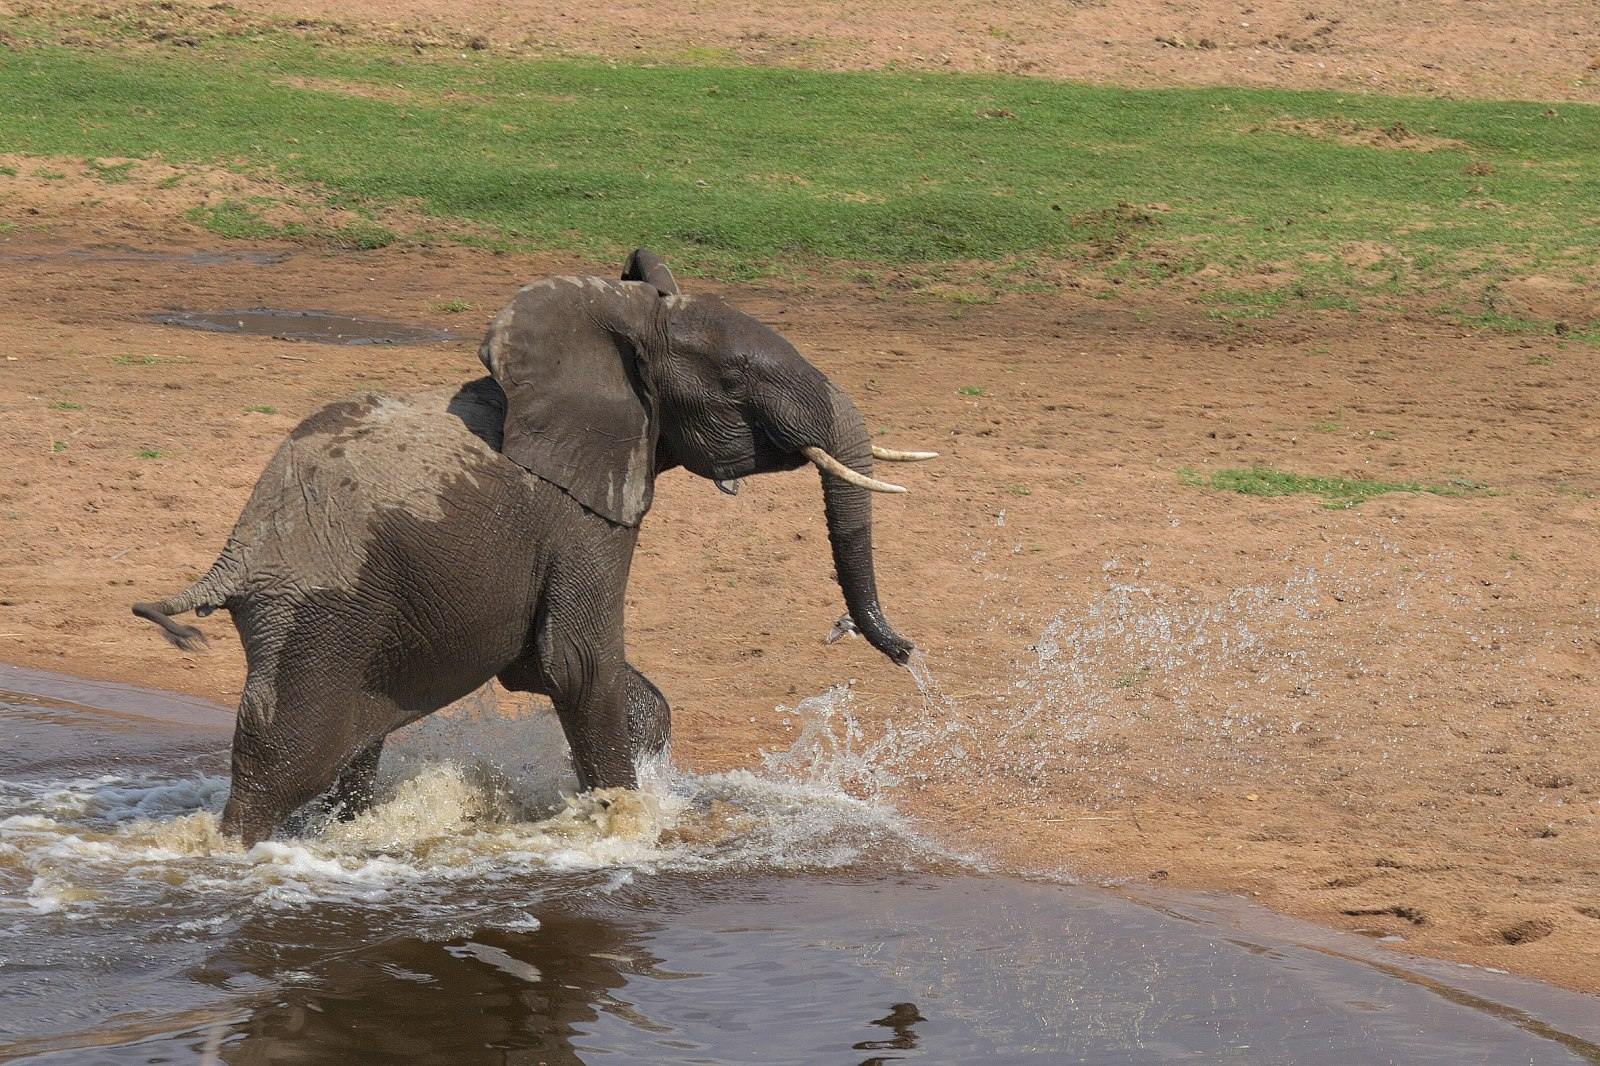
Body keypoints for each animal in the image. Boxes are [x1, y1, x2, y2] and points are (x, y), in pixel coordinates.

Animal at [134, 249, 934, 838]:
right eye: (735, 379)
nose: (907, 653)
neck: (623, 324)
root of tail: (237, 551)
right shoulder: (583, 516)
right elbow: (574, 662)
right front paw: (625, 829)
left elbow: (548, 668)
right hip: (319, 609)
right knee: (289, 756)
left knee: (350, 748)